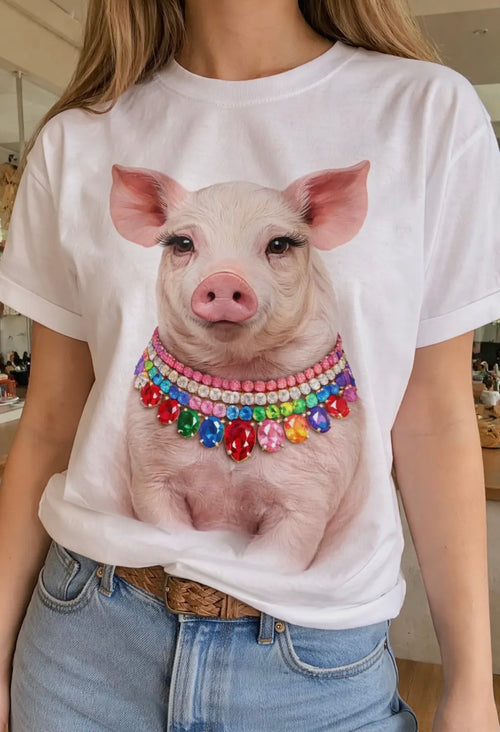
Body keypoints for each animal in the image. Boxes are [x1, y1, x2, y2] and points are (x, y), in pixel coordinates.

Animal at [110, 161, 370, 572]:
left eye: (278, 244)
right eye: (183, 244)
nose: (223, 278)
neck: (237, 375)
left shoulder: (311, 497)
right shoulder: (149, 472)